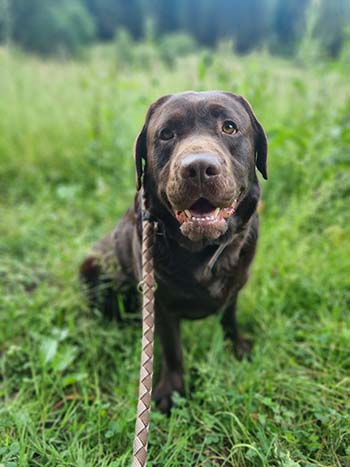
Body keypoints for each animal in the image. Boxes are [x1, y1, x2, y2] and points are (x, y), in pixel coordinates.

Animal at [80, 90, 268, 414]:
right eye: (166, 134)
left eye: (229, 127)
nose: (199, 168)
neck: (204, 251)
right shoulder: (161, 303)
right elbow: (172, 349)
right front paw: (171, 390)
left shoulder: (235, 285)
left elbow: (229, 318)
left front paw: (237, 348)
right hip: (92, 267)